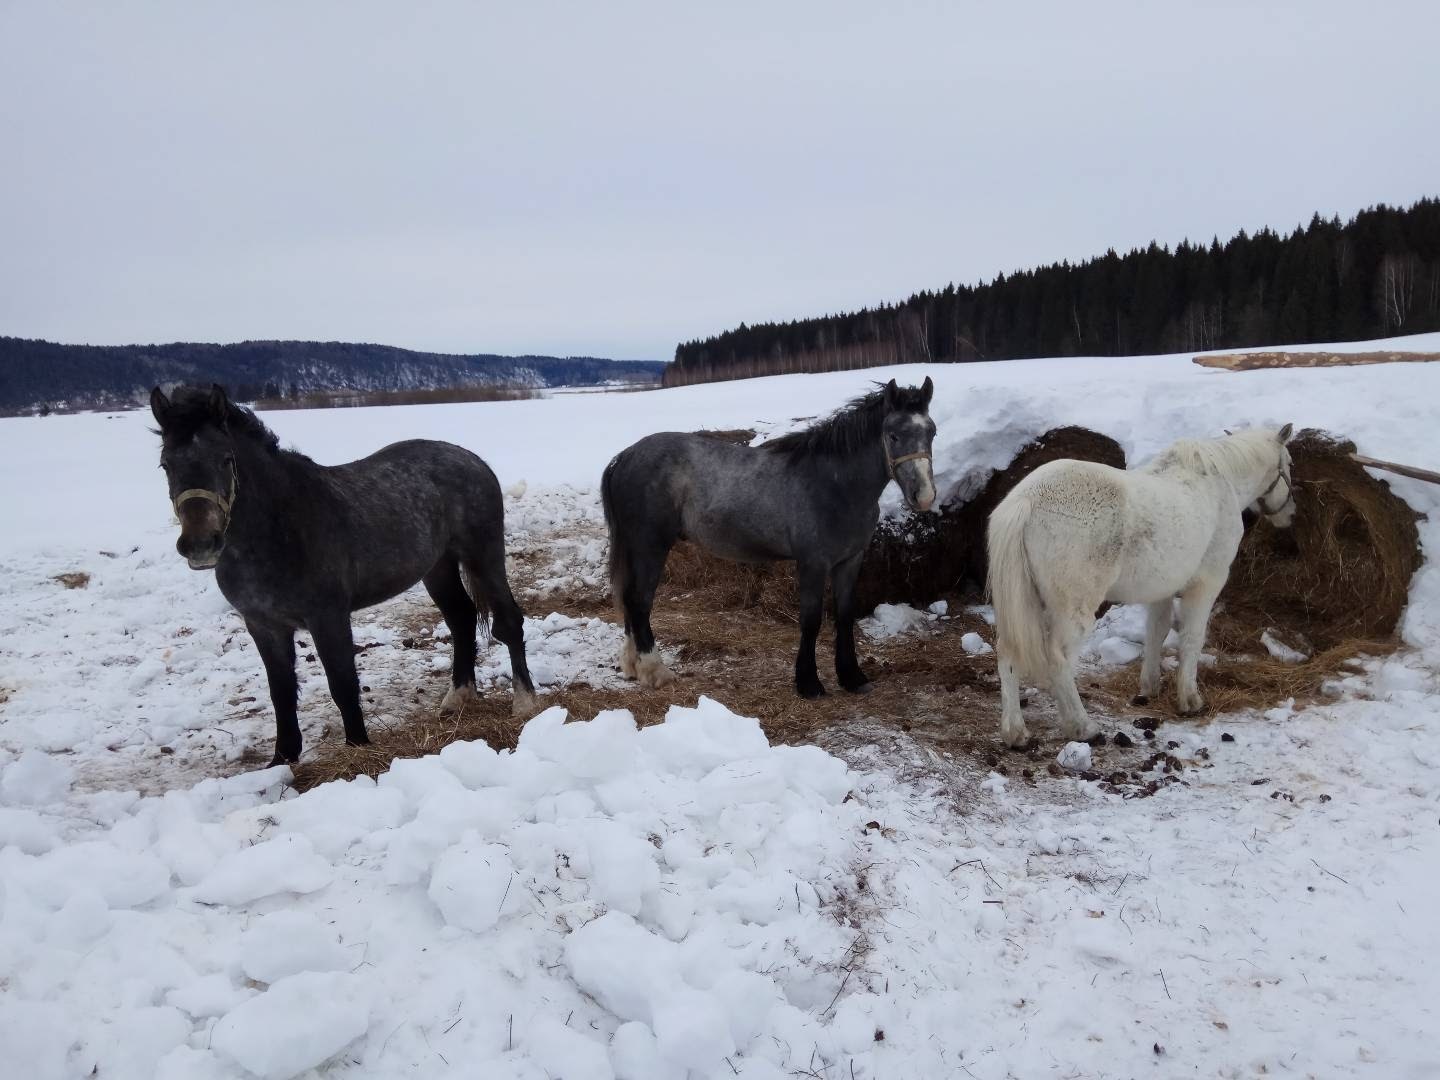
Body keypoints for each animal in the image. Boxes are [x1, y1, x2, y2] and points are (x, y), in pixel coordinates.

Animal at [149, 385, 538, 766]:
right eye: (166, 464)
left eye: (226, 459)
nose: (201, 545)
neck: (279, 528)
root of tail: (471, 459)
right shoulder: (263, 625)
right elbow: (280, 690)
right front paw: (283, 757)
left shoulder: (328, 617)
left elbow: (342, 682)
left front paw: (357, 748)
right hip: (437, 567)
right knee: (461, 619)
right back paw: (457, 697)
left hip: (483, 556)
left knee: (508, 620)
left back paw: (524, 702)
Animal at [601, 380, 938, 702]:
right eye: (893, 436)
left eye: (931, 432)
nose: (924, 496)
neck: (835, 484)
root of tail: (624, 457)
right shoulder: (813, 563)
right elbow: (811, 620)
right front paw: (809, 684)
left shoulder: (850, 560)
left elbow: (844, 616)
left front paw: (852, 677)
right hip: (650, 546)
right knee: (640, 601)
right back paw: (655, 670)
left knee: (630, 600)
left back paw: (632, 666)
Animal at [990, 426, 1296, 748]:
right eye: (1289, 464)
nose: (1291, 514)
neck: (1220, 482)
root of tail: (1027, 500)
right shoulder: (1206, 584)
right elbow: (1192, 638)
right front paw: (1190, 699)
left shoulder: (1162, 590)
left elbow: (1156, 632)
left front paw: (1150, 687)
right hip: (1073, 610)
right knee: (1058, 660)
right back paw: (1083, 727)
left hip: (1025, 603)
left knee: (1008, 653)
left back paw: (1015, 731)